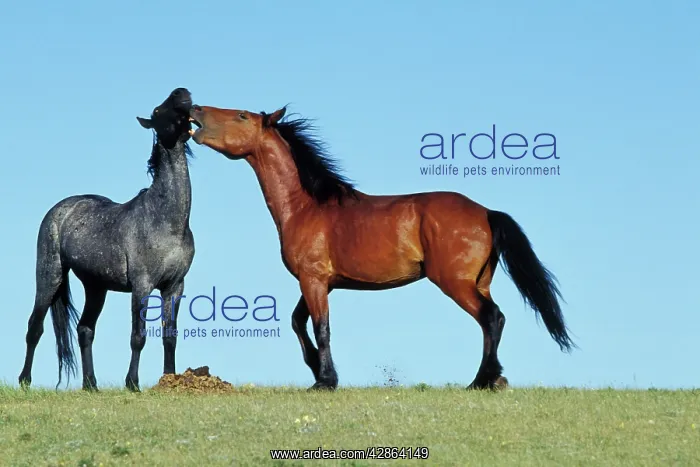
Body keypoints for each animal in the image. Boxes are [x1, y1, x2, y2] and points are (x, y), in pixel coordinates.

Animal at [19, 88, 196, 391]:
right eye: (158, 111)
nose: (181, 93)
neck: (166, 220)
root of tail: (60, 210)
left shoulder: (174, 287)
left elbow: (169, 336)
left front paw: (169, 379)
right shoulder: (141, 285)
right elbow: (138, 336)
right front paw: (132, 383)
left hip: (96, 287)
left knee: (85, 329)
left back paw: (91, 383)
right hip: (50, 275)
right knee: (35, 327)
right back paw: (25, 380)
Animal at [188, 104, 574, 390]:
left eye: (242, 115)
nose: (195, 110)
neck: (305, 206)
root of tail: (486, 212)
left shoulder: (314, 280)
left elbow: (321, 326)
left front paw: (325, 381)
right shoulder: (319, 282)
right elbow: (299, 322)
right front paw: (316, 370)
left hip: (455, 282)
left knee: (492, 317)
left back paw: (483, 381)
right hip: (479, 282)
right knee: (492, 321)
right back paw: (494, 378)